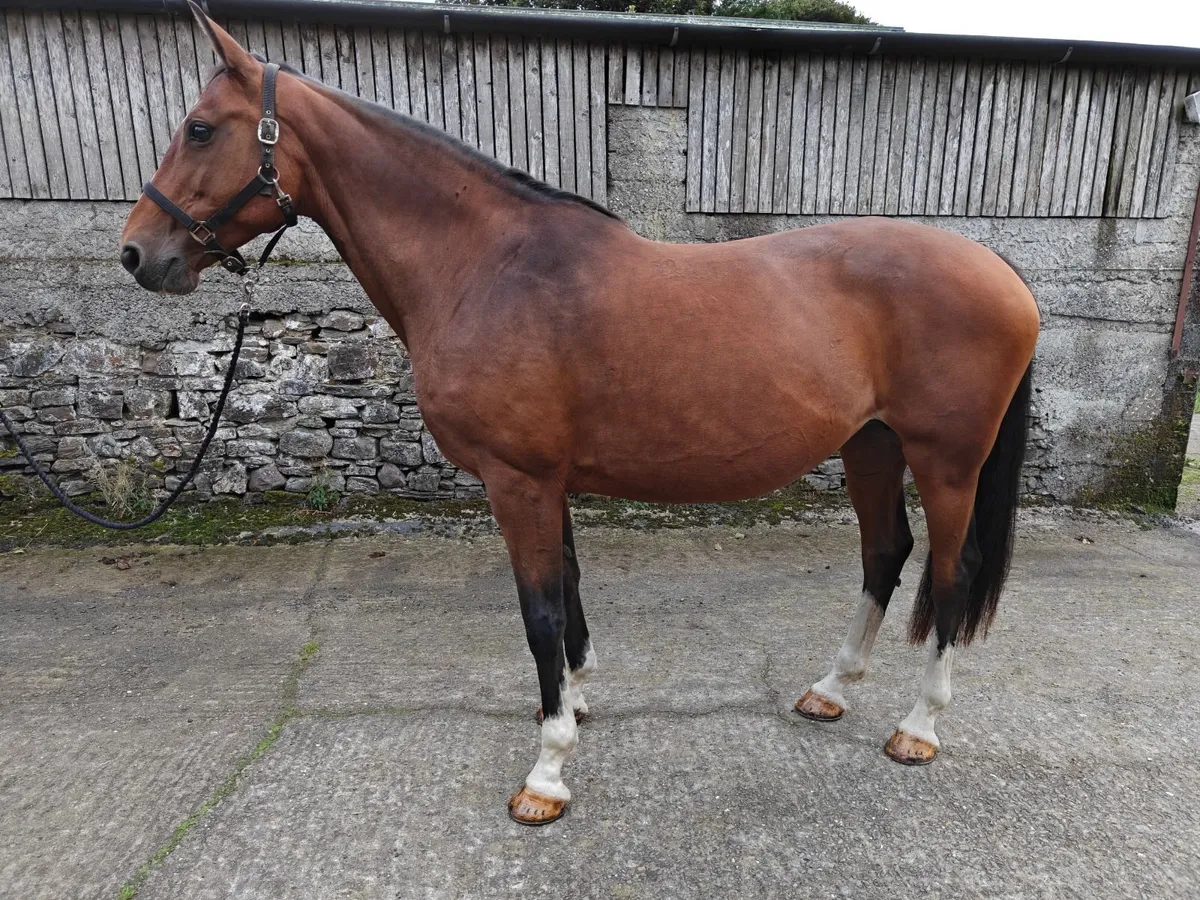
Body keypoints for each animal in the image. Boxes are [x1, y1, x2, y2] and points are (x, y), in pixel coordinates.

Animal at [120, 4, 1039, 826]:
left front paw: (547, 772)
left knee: (952, 573)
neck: (486, 267)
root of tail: (996, 266)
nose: (136, 254)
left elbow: (539, 612)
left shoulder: (517, 479)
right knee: (886, 554)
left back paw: (918, 726)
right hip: (870, 447)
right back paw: (829, 690)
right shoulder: (545, 479)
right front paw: (572, 701)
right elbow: (567, 590)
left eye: (200, 129)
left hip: (946, 460)